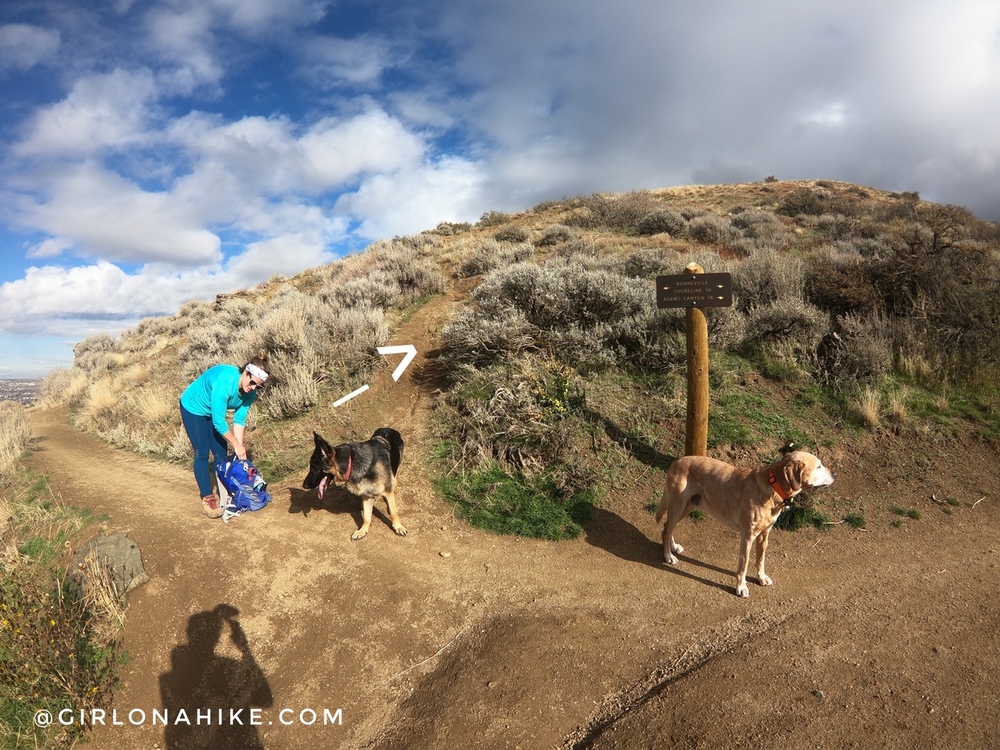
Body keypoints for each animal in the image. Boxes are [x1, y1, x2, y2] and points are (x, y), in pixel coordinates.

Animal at [656, 452, 836, 600]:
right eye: (818, 466)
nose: (835, 474)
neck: (773, 487)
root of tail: (677, 461)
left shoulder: (764, 534)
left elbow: (760, 560)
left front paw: (761, 577)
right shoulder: (748, 537)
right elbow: (743, 565)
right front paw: (741, 587)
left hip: (687, 507)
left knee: (668, 526)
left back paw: (673, 547)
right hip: (678, 505)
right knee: (666, 529)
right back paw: (668, 555)